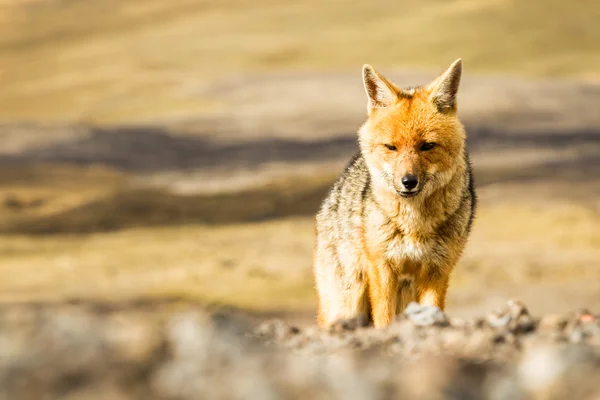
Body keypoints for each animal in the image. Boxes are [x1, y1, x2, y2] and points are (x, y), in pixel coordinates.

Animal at [312, 59, 476, 328]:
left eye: (427, 146)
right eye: (391, 147)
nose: (408, 182)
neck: (414, 225)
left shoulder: (438, 270)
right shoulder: (382, 268)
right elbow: (384, 319)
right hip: (348, 302)